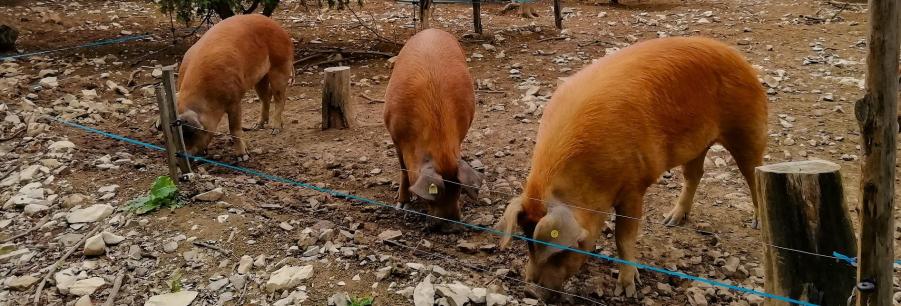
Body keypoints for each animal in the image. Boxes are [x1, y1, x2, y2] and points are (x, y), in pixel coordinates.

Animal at [178, 13, 296, 160]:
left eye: (193, 133)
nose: (183, 156)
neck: (207, 98)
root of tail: (279, 27)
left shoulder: (235, 99)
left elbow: (234, 128)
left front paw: (243, 157)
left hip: (280, 64)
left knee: (280, 97)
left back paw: (275, 130)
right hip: (259, 77)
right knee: (266, 96)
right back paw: (257, 125)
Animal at [382, 28, 482, 230]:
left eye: (458, 190)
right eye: (434, 195)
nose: (452, 228)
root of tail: (431, 30)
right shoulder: (394, 135)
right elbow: (403, 170)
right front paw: (402, 205)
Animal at [496, 36, 764, 302]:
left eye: (561, 251)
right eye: (526, 241)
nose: (530, 290)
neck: (589, 181)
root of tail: (736, 56)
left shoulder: (634, 187)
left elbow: (623, 238)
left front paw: (627, 291)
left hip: (747, 128)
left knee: (753, 174)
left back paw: (757, 224)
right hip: (697, 144)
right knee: (694, 175)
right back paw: (670, 221)